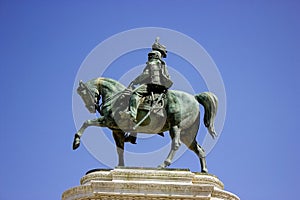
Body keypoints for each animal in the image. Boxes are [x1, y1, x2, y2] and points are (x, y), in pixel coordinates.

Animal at [72, 77, 218, 173]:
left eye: (83, 93)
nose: (91, 108)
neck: (115, 98)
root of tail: (194, 98)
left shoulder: (108, 121)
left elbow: (86, 123)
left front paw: (76, 141)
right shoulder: (116, 130)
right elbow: (120, 149)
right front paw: (121, 166)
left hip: (176, 127)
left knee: (176, 144)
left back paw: (163, 165)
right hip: (187, 134)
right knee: (199, 149)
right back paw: (204, 171)